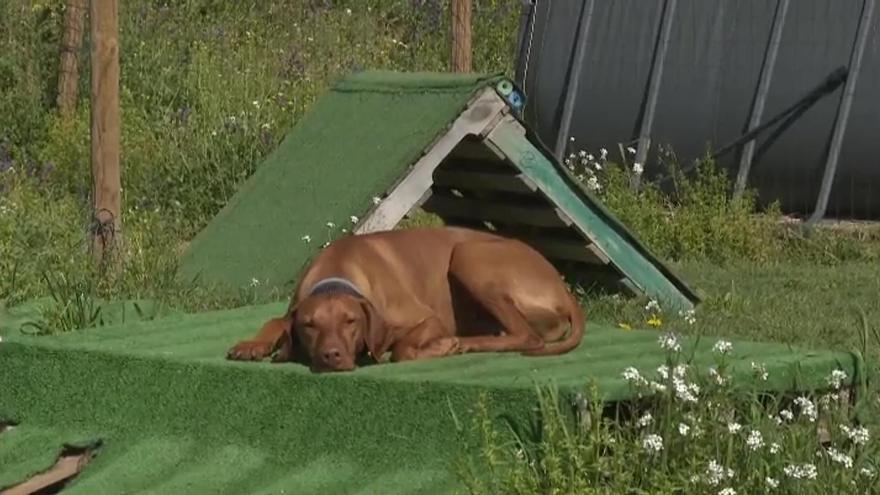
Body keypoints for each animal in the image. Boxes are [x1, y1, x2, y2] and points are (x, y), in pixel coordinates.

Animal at [227, 227, 584, 374]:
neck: (338, 267)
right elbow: (274, 320)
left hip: (467, 254)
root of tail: (563, 286)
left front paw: (439, 346)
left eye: (350, 321)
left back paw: (465, 343)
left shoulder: (428, 319)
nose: (331, 356)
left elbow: (401, 349)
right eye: (309, 326)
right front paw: (251, 345)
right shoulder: (295, 307)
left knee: (529, 337)